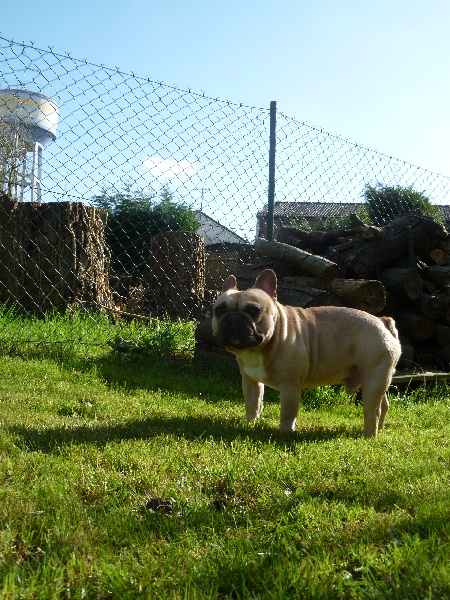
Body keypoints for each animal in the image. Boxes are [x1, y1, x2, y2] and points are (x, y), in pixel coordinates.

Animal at [212, 269, 401, 438]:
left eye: (254, 310)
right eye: (218, 310)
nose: (233, 317)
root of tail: (383, 322)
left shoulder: (290, 386)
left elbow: (287, 413)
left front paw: (285, 432)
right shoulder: (250, 382)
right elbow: (252, 404)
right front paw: (250, 423)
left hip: (373, 379)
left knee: (371, 411)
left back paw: (369, 436)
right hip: (374, 379)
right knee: (383, 405)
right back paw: (380, 428)